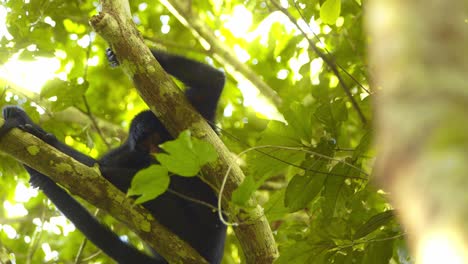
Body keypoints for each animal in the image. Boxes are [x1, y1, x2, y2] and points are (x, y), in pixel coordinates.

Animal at [0, 48, 227, 262]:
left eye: (156, 139)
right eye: (145, 146)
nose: (154, 153)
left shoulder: (193, 114)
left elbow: (212, 81)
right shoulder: (129, 151)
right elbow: (91, 164)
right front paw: (40, 134)